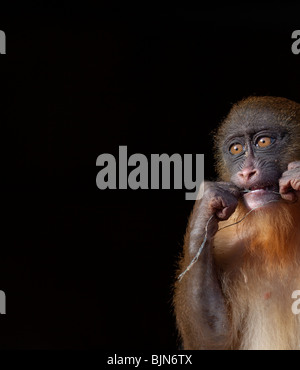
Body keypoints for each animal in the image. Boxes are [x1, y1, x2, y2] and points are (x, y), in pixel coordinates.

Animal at [173, 95, 300, 350]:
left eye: (263, 142)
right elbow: (216, 339)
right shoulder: (228, 239)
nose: (246, 173)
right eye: (236, 149)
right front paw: (207, 206)